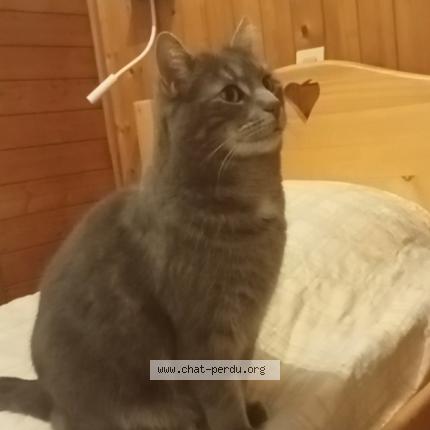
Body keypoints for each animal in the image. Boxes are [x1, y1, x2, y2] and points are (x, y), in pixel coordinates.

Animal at [0, 19, 286, 430]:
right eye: (231, 93)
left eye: (268, 80)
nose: (275, 103)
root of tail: (51, 400)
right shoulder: (205, 336)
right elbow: (223, 402)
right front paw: (238, 420)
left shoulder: (247, 327)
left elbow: (241, 380)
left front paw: (250, 408)